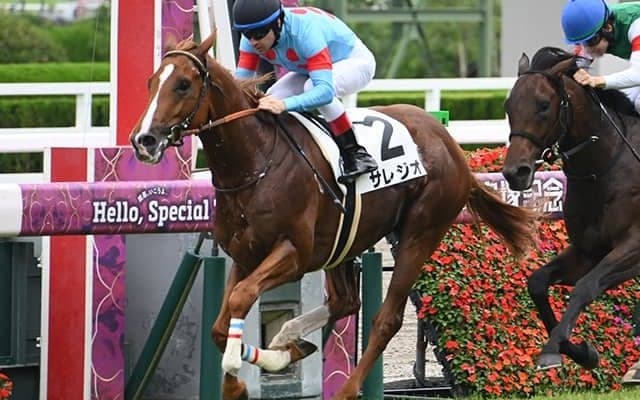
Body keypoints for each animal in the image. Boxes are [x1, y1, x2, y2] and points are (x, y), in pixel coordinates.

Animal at [129, 33, 537, 400]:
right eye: (151, 82)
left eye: (183, 84)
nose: (143, 140)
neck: (255, 163)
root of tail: (450, 145)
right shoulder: (244, 255)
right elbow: (221, 321)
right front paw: (271, 360)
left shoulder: (294, 253)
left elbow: (241, 299)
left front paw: (240, 377)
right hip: (345, 241)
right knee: (345, 302)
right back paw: (289, 339)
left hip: (420, 232)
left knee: (385, 319)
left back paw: (345, 387)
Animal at [502, 46, 640, 378]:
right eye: (508, 105)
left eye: (543, 105)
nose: (515, 172)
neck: (602, 170)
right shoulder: (587, 250)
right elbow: (538, 282)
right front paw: (580, 352)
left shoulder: (634, 247)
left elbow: (585, 287)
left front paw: (553, 349)